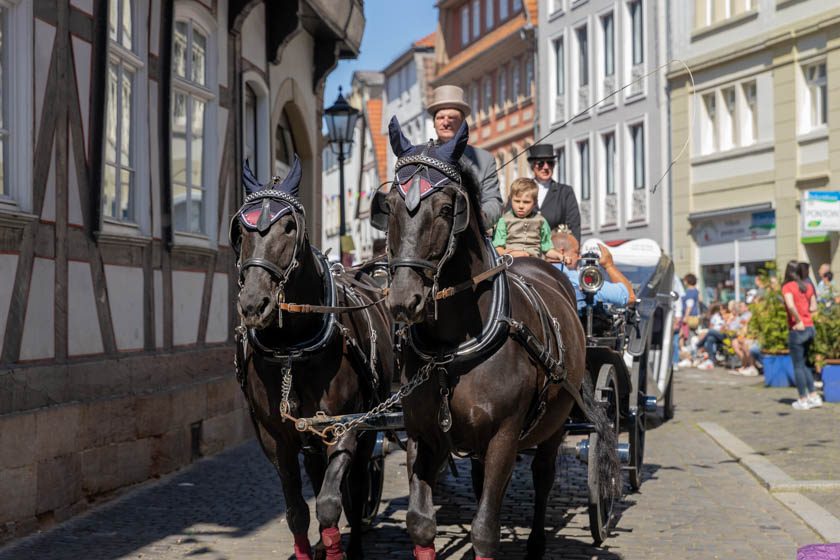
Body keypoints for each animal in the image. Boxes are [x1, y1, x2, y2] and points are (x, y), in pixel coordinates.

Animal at [230, 159, 394, 560]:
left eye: (289, 227)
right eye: (240, 229)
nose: (254, 305)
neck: (292, 349)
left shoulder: (346, 426)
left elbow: (332, 504)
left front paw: (338, 548)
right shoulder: (276, 438)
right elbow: (297, 511)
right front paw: (312, 547)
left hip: (371, 423)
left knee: (357, 486)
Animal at [370, 119, 620, 560]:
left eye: (447, 209)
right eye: (392, 207)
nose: (403, 299)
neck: (452, 349)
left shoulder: (505, 435)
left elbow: (486, 528)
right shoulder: (423, 433)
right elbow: (420, 523)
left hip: (554, 423)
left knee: (542, 476)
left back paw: (536, 543)